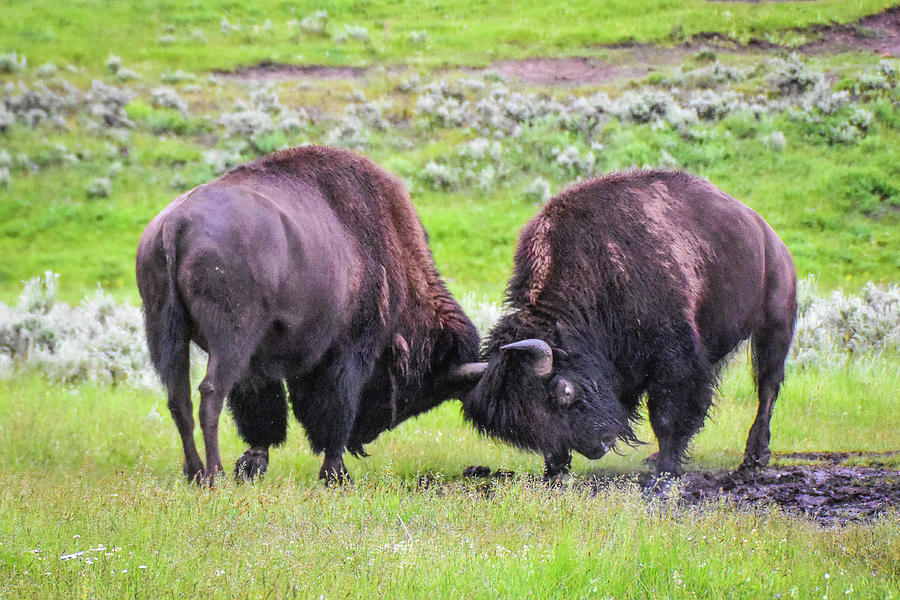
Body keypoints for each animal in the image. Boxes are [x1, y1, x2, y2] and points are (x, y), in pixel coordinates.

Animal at [134, 148, 482, 486]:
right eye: (415, 393)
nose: (363, 440)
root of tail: (175, 223)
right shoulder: (350, 352)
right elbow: (336, 410)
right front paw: (336, 474)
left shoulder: (261, 362)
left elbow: (265, 414)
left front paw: (252, 465)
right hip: (229, 340)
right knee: (210, 394)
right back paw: (214, 475)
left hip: (165, 333)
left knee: (179, 400)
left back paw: (194, 472)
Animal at [464, 171, 796, 480]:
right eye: (525, 427)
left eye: (565, 392)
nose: (597, 445)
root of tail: (770, 237)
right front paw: (554, 470)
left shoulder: (675, 360)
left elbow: (668, 415)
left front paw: (666, 472)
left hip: (774, 328)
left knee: (767, 389)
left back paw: (754, 458)